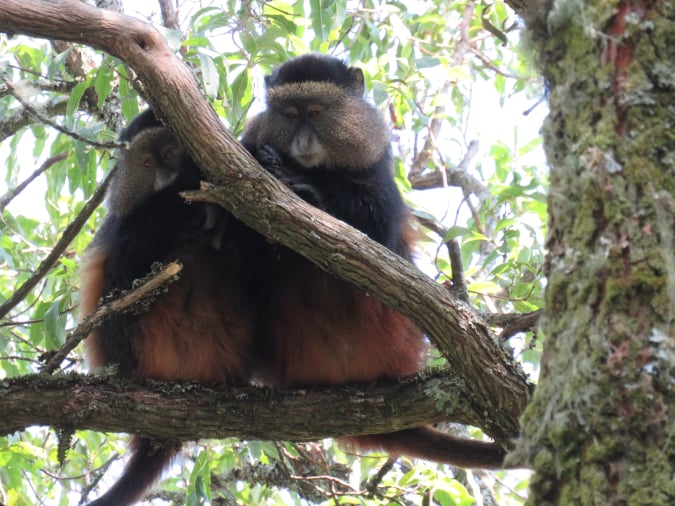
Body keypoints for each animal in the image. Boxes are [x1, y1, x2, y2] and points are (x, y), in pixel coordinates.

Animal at [79, 117, 254, 506]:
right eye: (147, 164)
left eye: (172, 152)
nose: (163, 178)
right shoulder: (121, 224)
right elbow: (122, 274)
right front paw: (183, 187)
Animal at [242, 53, 507, 468]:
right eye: (288, 114)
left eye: (315, 112)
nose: (302, 142)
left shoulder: (378, 165)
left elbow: (378, 232)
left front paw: (304, 186)